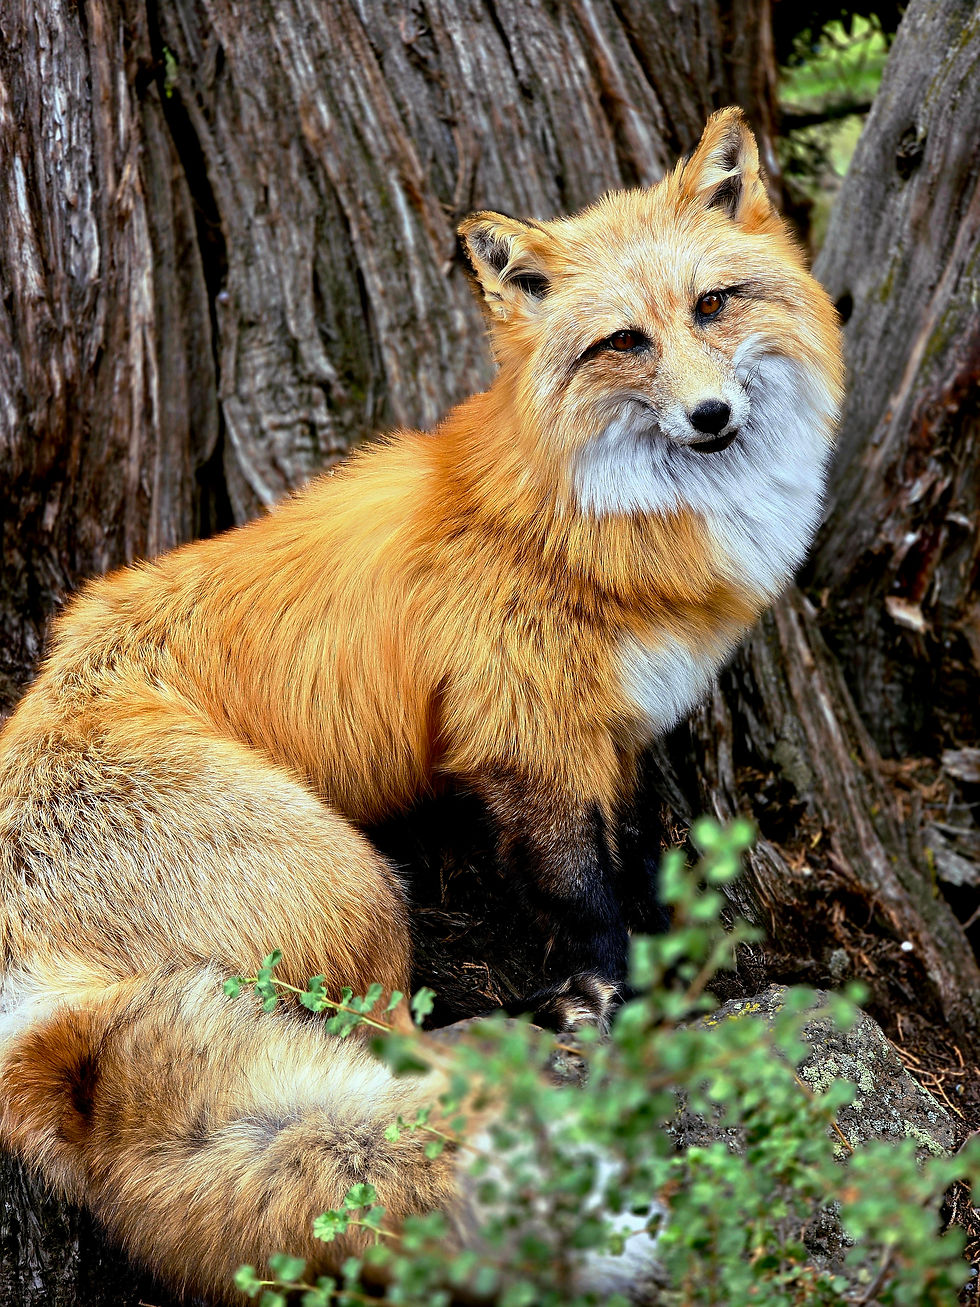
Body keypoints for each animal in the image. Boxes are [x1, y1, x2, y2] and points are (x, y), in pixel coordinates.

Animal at [0, 108, 842, 1300]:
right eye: (622, 342)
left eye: (713, 305)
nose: (711, 414)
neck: (594, 520)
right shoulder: (526, 741)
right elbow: (583, 895)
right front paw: (605, 1004)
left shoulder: (614, 735)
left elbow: (634, 860)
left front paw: (665, 979)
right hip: (356, 883)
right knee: (379, 1035)